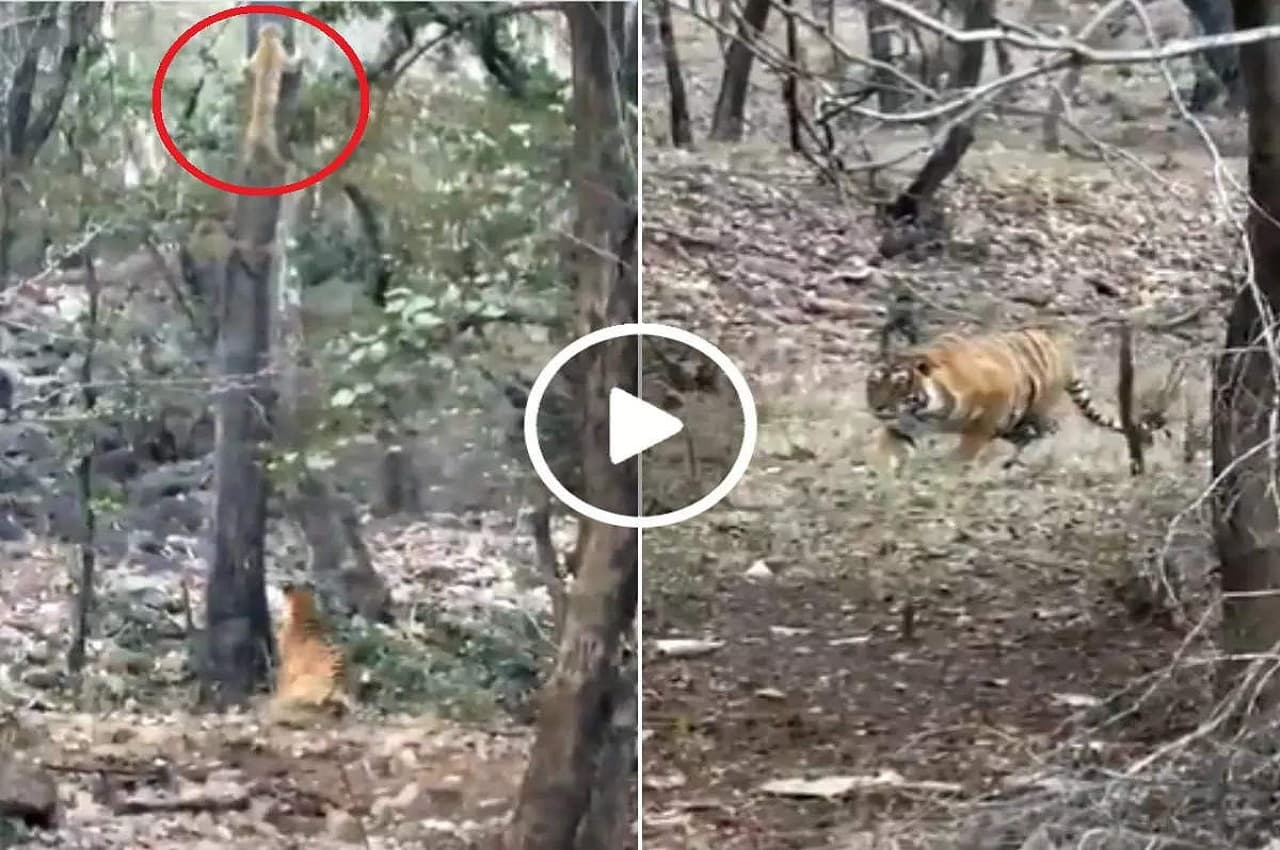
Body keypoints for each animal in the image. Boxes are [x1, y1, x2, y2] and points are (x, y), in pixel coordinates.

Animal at [865, 326, 1156, 471]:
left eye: (899, 384)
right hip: (1012, 422)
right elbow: (888, 450)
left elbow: (967, 449)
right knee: (1027, 435)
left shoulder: (992, 406)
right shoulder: (901, 427)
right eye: (873, 383)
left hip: (1029, 409)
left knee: (1047, 429)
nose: (878, 407)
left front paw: (950, 470)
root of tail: (1058, 346)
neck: (925, 412)